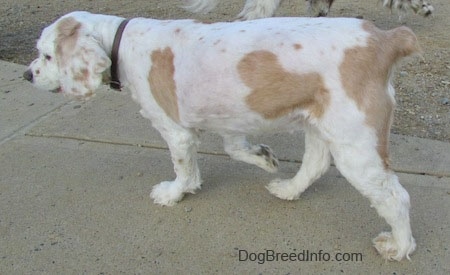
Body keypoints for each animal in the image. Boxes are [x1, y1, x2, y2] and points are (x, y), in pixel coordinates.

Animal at [23, 10, 418, 260]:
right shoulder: (233, 119)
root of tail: (384, 39)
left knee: (395, 196)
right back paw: (287, 189)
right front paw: (263, 157)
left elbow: (184, 169)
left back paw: (399, 247)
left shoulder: (175, 131)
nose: (27, 75)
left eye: (46, 55)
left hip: (356, 142)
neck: (122, 43)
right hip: (323, 124)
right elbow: (235, 147)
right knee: (316, 164)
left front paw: (172, 194)